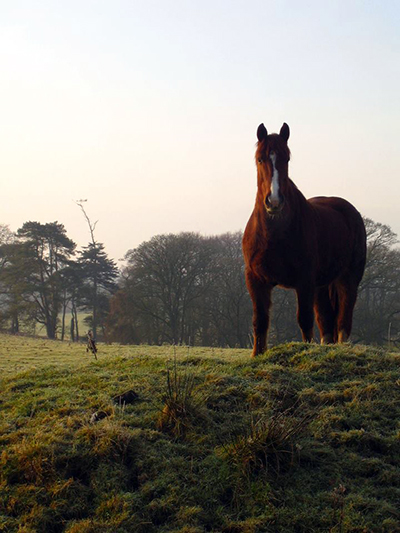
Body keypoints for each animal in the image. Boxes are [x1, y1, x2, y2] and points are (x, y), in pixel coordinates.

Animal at [242, 122, 368, 356]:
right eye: (260, 159)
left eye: (287, 159)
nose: (274, 202)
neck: (274, 234)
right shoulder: (256, 280)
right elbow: (260, 321)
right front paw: (257, 355)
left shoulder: (305, 281)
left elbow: (304, 320)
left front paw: (305, 351)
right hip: (322, 286)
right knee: (326, 321)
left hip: (348, 279)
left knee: (343, 320)